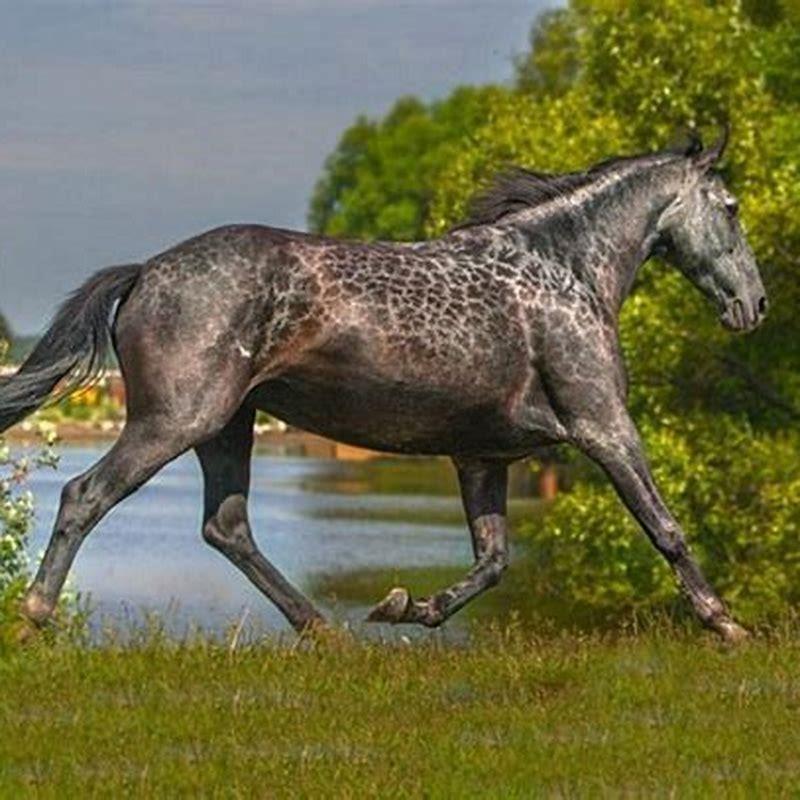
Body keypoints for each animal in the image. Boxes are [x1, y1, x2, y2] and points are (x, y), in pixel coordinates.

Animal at [0, 130, 767, 643]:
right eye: (731, 206)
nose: (753, 306)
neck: (563, 268)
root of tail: (145, 272)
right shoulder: (604, 425)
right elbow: (664, 527)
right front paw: (727, 623)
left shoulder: (481, 456)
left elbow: (493, 562)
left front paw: (406, 607)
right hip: (175, 421)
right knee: (85, 496)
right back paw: (33, 617)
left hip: (226, 426)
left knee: (228, 527)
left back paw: (324, 629)